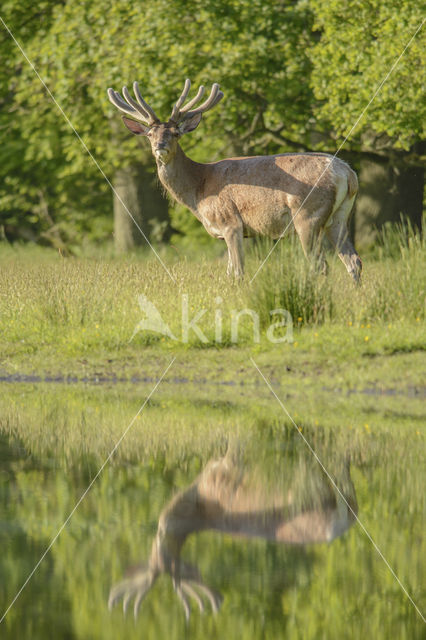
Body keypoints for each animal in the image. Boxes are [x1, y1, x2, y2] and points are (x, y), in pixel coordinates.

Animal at [107, 78, 362, 282]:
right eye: (150, 134)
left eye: (176, 133)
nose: (160, 146)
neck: (199, 191)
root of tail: (347, 173)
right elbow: (229, 272)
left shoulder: (230, 221)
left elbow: (238, 272)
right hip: (339, 217)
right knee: (354, 261)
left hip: (308, 215)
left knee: (321, 265)